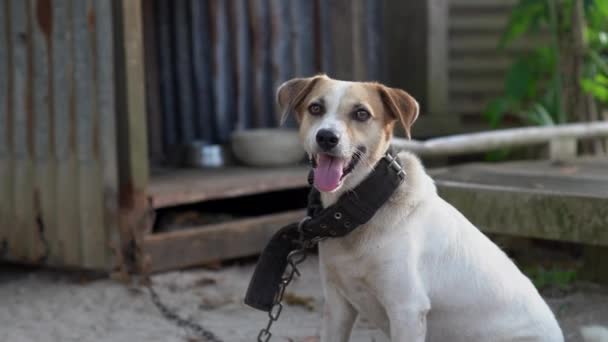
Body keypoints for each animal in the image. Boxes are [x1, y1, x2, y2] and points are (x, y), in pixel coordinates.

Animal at [278, 75, 568, 342]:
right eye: (316, 108)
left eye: (361, 113)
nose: (326, 137)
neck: (365, 207)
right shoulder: (338, 305)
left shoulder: (406, 309)